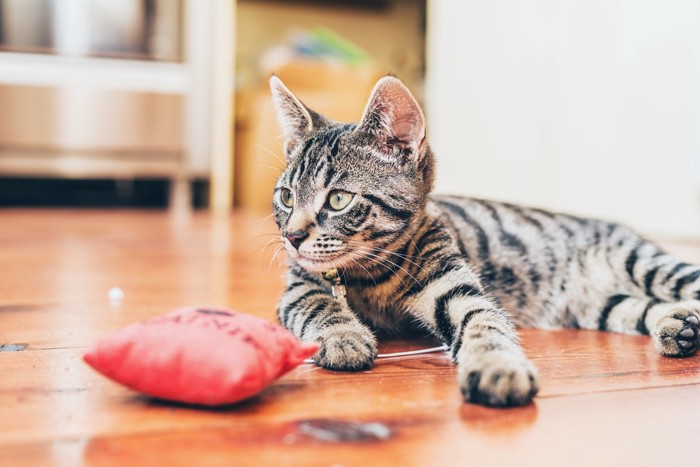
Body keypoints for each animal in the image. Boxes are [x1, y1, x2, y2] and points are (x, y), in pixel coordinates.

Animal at [268, 75, 700, 408]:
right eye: (287, 197)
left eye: (338, 199)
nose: (292, 236)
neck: (372, 275)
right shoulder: (298, 288)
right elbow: (319, 305)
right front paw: (344, 335)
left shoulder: (450, 282)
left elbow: (483, 321)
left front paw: (497, 366)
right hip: (598, 305)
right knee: (639, 307)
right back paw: (678, 325)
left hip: (641, 263)